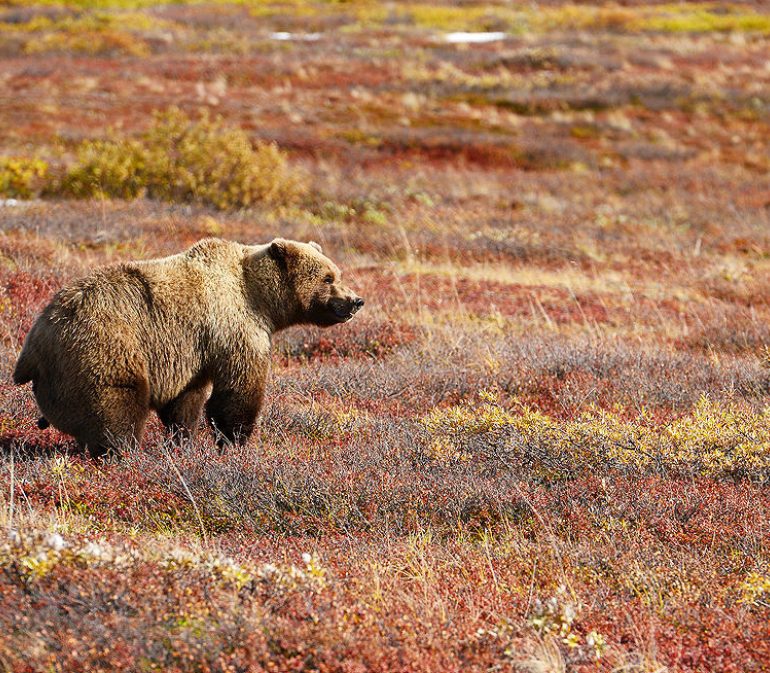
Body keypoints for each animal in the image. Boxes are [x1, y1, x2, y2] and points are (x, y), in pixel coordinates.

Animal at [13, 237, 364, 457]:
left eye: (337, 272)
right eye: (328, 277)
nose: (355, 300)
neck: (261, 300)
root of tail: (35, 343)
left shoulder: (191, 354)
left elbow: (185, 402)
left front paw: (182, 441)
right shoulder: (235, 328)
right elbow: (237, 392)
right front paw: (234, 442)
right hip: (103, 346)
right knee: (116, 408)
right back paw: (122, 453)